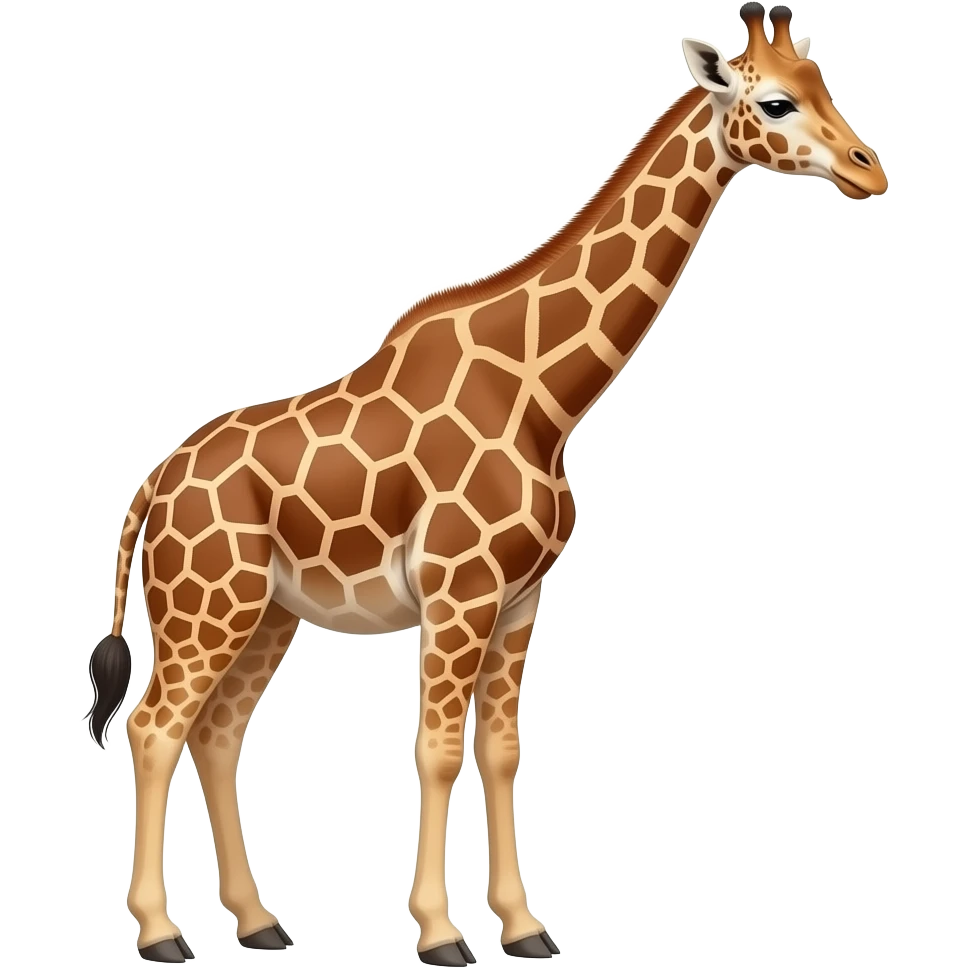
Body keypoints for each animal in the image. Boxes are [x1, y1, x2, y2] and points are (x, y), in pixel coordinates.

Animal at [81, 3, 888, 963]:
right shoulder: (458, 594)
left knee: (215, 732)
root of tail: (152, 487)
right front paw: (440, 934)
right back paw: (161, 932)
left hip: (268, 610)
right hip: (208, 605)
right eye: (773, 102)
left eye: (824, 85)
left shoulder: (520, 598)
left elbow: (501, 751)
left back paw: (259, 921)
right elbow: (434, 749)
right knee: (153, 728)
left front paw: (525, 926)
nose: (869, 170)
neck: (545, 398)